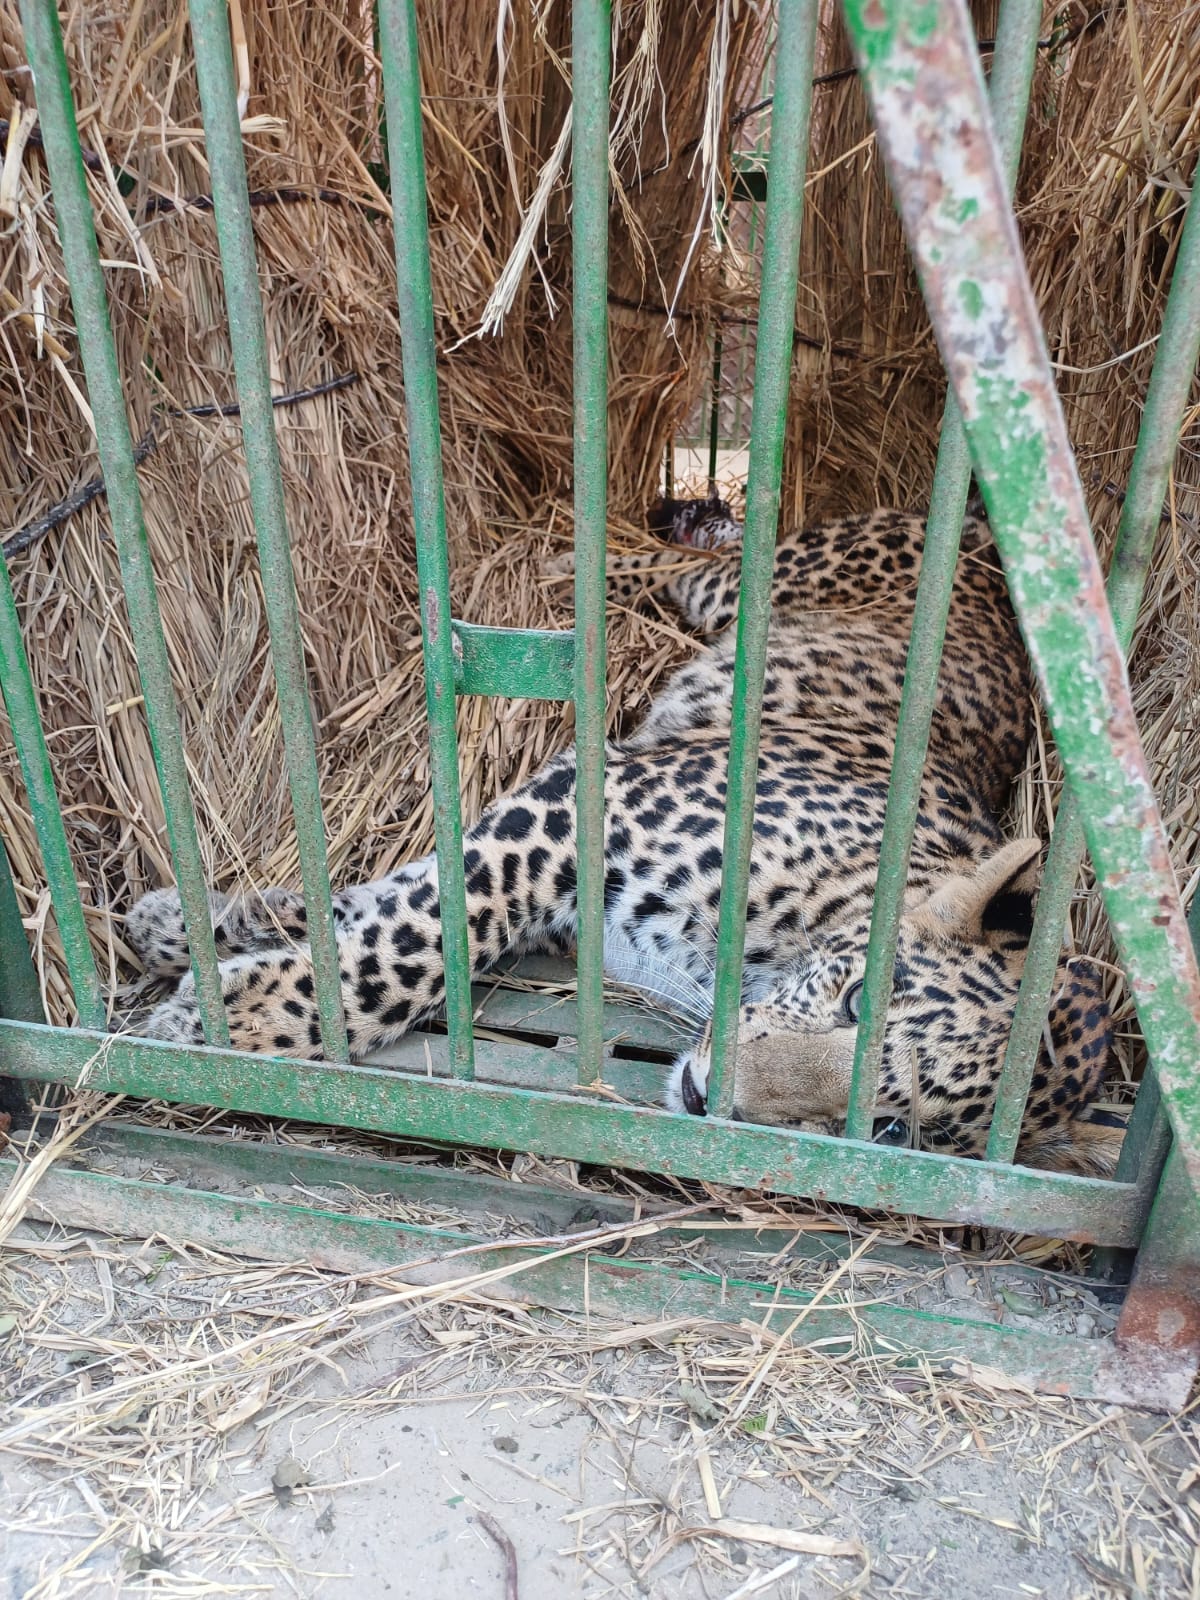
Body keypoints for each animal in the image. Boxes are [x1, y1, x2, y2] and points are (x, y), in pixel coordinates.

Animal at [125, 504, 1120, 1173]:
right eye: (852, 1001)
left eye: (886, 1129)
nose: (711, 1098)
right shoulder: (577, 809)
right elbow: (414, 937)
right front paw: (222, 1010)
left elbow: (393, 910)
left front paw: (207, 951)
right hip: (754, 583)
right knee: (679, 560)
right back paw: (570, 560)